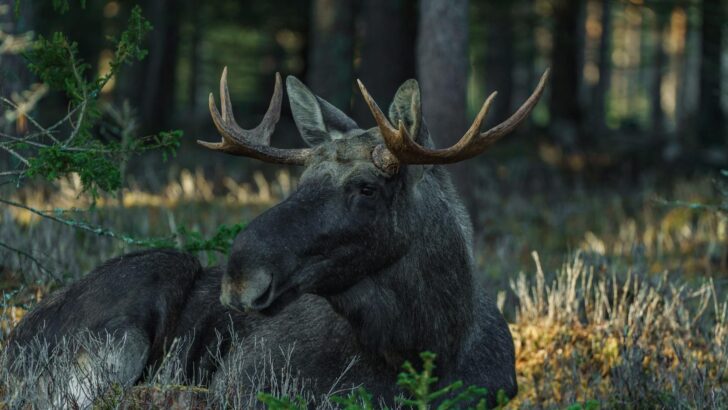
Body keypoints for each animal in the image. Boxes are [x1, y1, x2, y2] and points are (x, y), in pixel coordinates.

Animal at [7, 66, 549, 407]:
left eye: (367, 187)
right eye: (302, 181)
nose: (240, 275)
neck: (432, 345)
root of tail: (12, 339)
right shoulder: (246, 384)